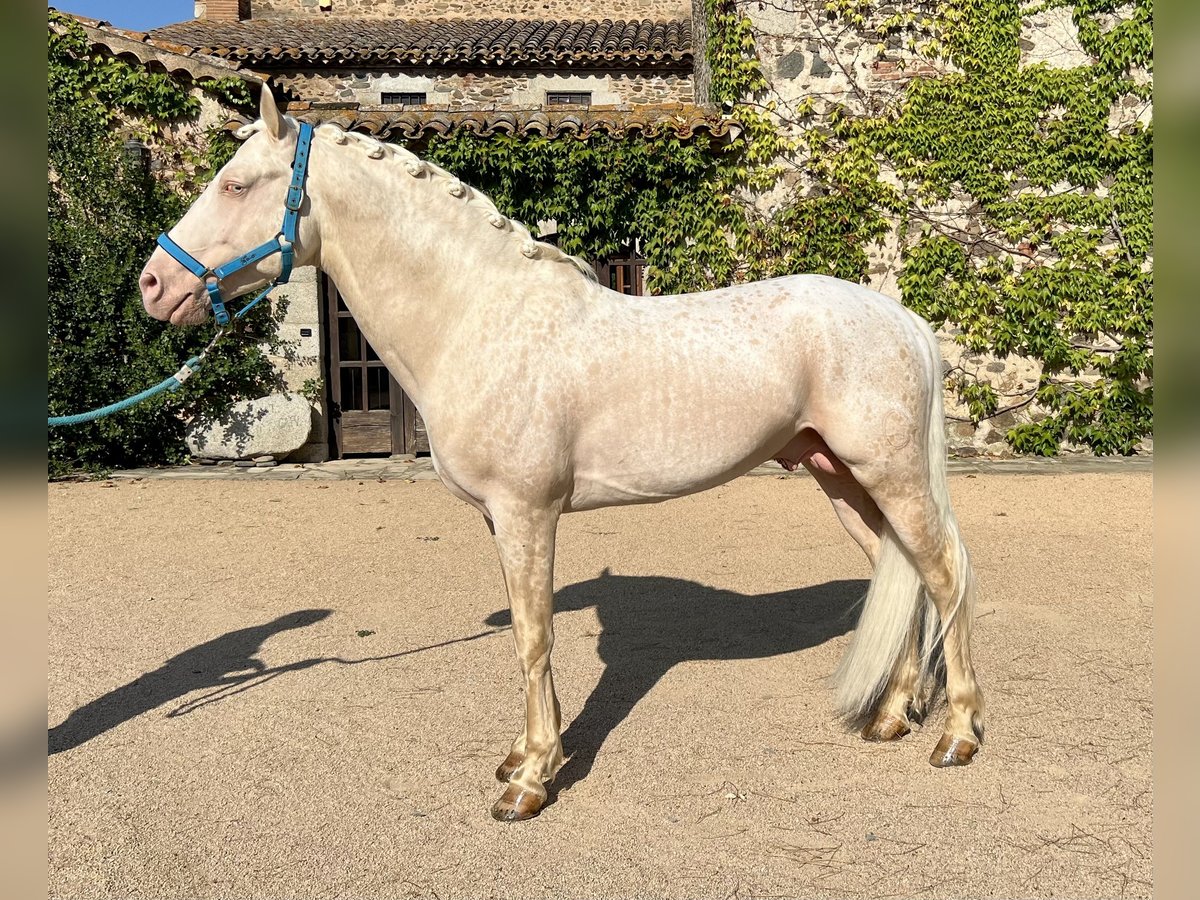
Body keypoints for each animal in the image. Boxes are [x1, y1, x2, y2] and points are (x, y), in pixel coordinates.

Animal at [139, 89, 984, 822]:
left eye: (236, 183)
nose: (152, 284)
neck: (479, 316)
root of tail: (901, 318)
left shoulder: (528, 512)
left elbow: (533, 635)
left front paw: (532, 782)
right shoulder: (499, 520)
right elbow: (523, 629)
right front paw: (519, 757)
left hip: (889, 475)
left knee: (945, 572)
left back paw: (957, 735)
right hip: (839, 478)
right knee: (903, 573)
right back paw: (892, 717)